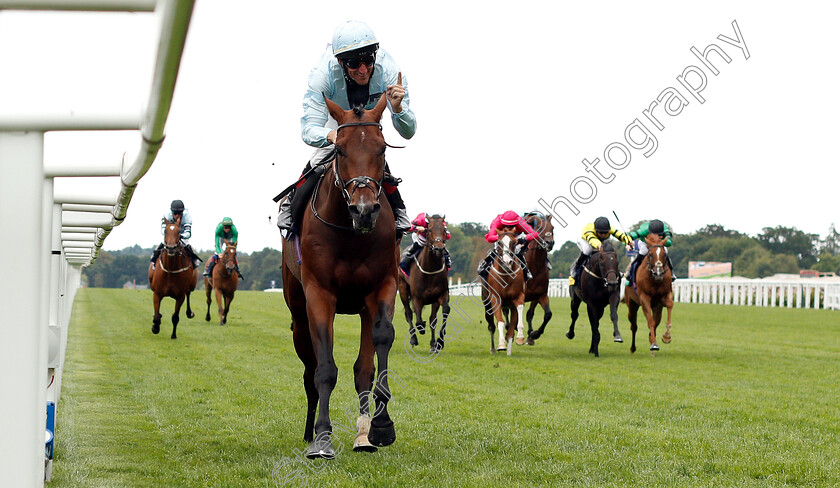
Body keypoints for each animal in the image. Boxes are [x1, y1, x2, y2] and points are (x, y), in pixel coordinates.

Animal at [398, 214, 450, 354]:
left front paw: (438, 343)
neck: (430, 270)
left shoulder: (441, 295)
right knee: (409, 313)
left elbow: (442, 314)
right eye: (429, 230)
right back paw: (413, 339)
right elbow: (419, 321)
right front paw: (421, 330)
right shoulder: (417, 298)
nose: (439, 248)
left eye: (444, 230)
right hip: (403, 289)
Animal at [520, 212, 556, 346]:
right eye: (539, 228)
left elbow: (547, 315)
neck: (535, 268)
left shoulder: (540, 295)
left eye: (552, 228)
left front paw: (533, 334)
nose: (549, 243)